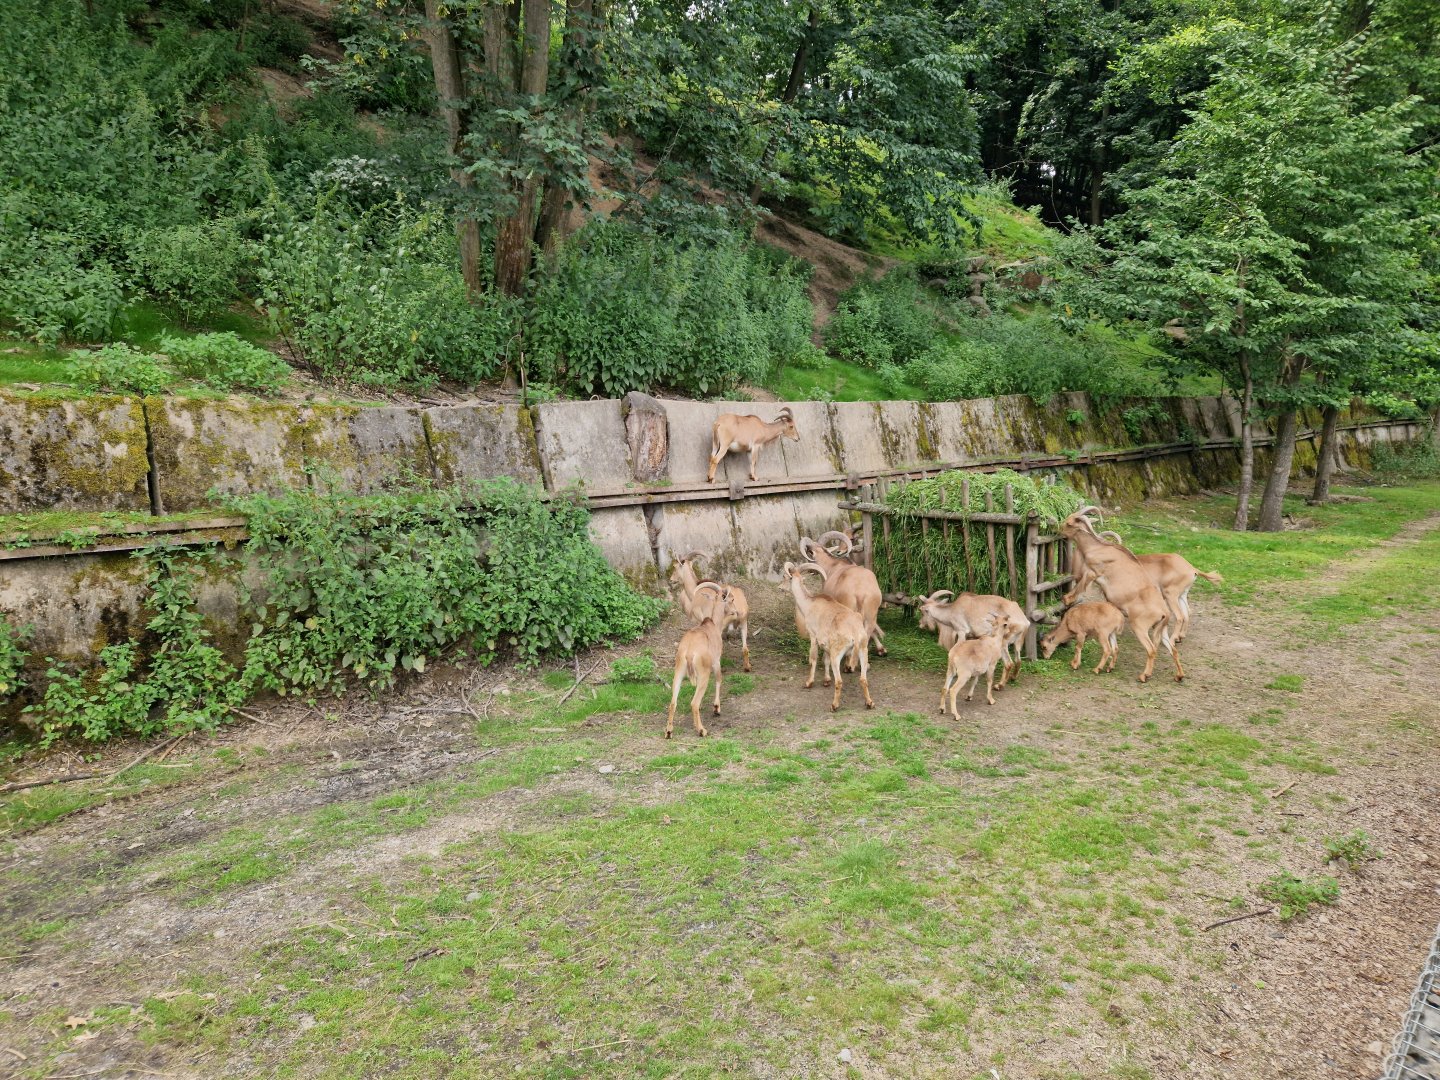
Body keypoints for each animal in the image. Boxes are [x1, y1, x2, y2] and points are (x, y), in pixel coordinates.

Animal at [666, 586, 741, 739]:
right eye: (731, 599)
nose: (736, 612)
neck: (713, 624)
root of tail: (689, 652)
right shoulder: (716, 662)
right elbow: (719, 679)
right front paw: (716, 708)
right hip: (704, 673)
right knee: (693, 703)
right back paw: (702, 730)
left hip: (679, 672)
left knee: (673, 702)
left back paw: (669, 731)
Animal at [781, 561, 874, 712]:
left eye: (784, 576)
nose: (780, 587)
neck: (809, 604)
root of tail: (854, 632)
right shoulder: (826, 645)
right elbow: (825, 660)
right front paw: (826, 680)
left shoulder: (813, 637)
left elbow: (813, 659)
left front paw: (809, 682)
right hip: (863, 650)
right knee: (863, 679)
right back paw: (869, 703)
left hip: (837, 654)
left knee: (840, 681)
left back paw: (834, 705)